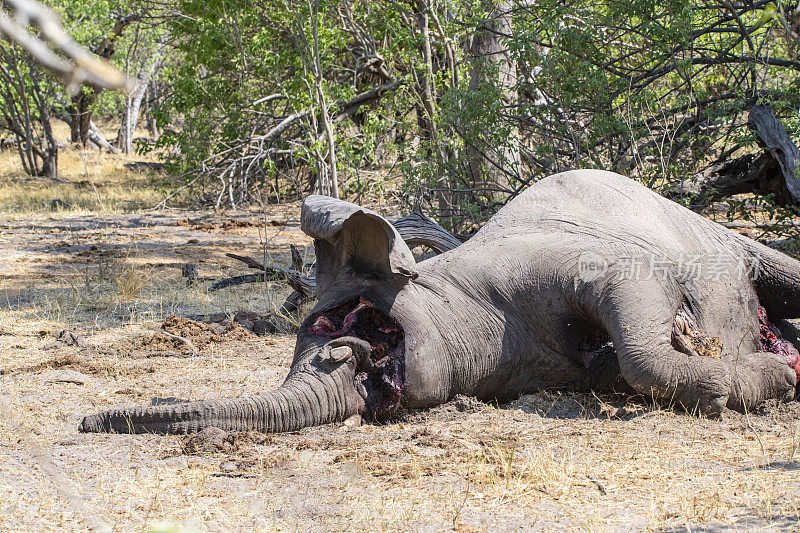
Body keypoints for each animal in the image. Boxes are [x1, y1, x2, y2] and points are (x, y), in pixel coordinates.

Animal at [79, 170, 800, 432]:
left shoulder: (579, 264)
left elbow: (642, 346)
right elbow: (620, 361)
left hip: (735, 241)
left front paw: (759, 380)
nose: (89, 421)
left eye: (361, 328)